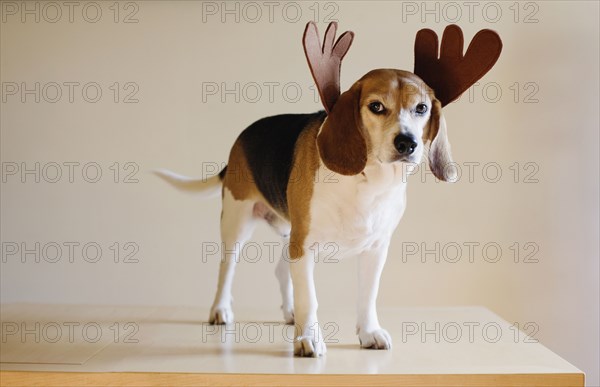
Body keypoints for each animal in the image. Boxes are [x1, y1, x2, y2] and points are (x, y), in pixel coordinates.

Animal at [156, 23, 502, 358]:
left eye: (421, 108)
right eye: (376, 106)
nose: (408, 143)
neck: (368, 180)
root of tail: (242, 137)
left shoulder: (375, 249)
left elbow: (367, 295)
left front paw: (369, 332)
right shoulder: (305, 247)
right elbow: (310, 297)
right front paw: (308, 338)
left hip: (288, 233)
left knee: (281, 271)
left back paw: (289, 313)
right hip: (237, 221)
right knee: (226, 268)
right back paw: (220, 310)